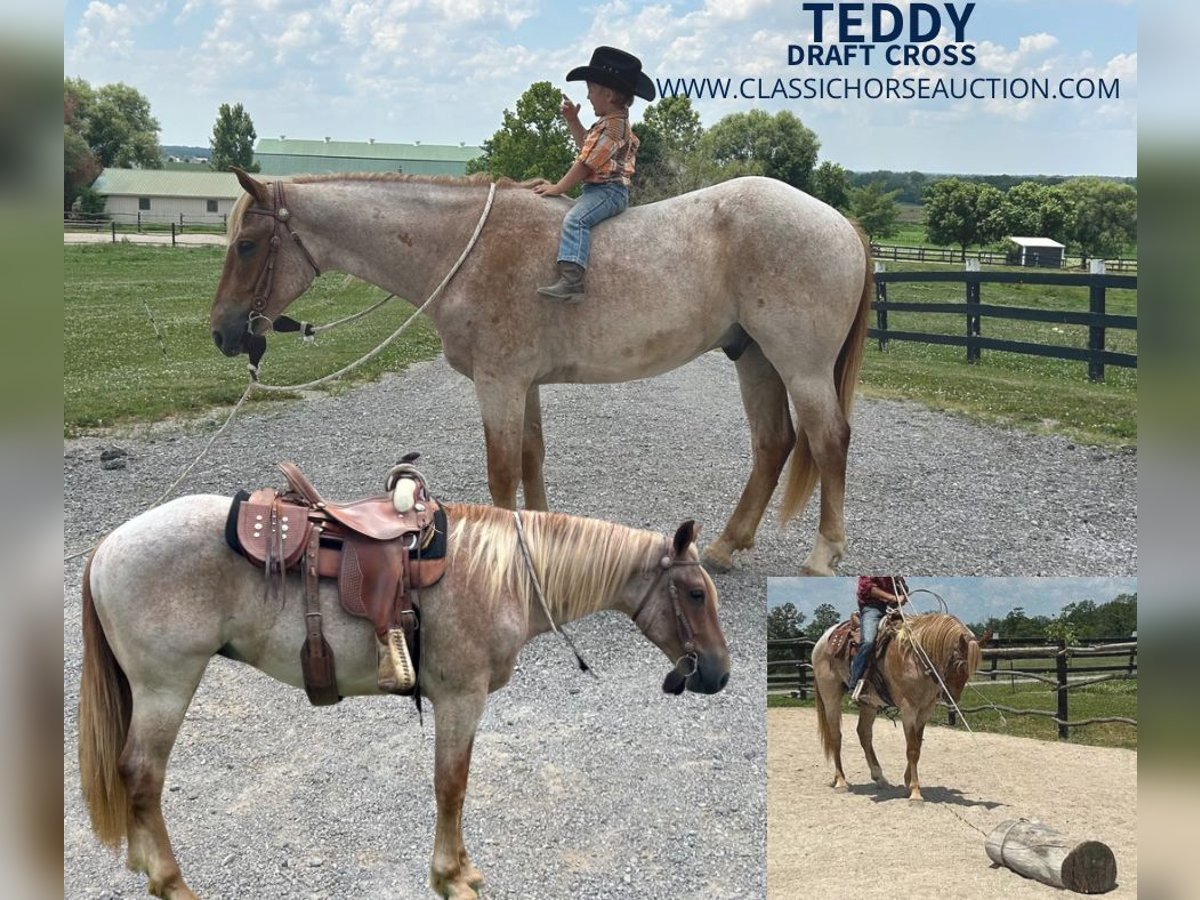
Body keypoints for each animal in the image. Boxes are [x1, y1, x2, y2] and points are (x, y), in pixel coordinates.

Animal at [79, 494, 729, 900]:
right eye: (696, 593)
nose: (719, 675)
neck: (503, 577)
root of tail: (108, 546)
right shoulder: (461, 699)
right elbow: (452, 786)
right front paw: (451, 877)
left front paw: (460, 870)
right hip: (166, 688)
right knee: (141, 775)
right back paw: (171, 883)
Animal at [208, 169, 873, 573]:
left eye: (246, 244)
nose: (222, 333)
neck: (465, 251)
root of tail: (839, 221)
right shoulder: (522, 386)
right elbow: (531, 460)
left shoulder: (499, 384)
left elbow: (503, 473)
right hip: (754, 358)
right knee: (774, 444)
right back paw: (724, 546)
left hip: (801, 367)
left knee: (828, 441)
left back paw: (823, 556)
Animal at [806, 614, 984, 801]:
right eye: (958, 664)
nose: (952, 697)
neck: (914, 657)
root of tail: (825, 637)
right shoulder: (909, 710)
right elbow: (911, 749)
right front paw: (915, 792)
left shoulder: (925, 711)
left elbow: (917, 746)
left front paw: (908, 782)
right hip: (830, 697)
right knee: (836, 736)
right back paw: (841, 781)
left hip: (869, 704)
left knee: (864, 733)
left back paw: (879, 777)